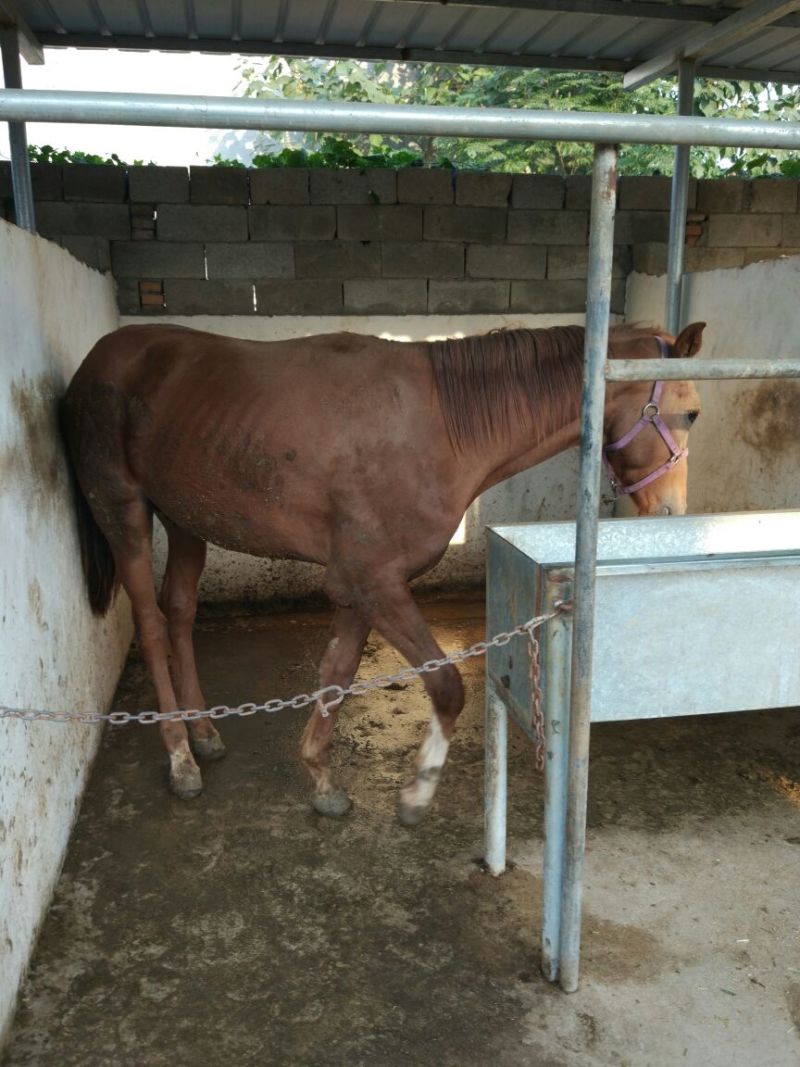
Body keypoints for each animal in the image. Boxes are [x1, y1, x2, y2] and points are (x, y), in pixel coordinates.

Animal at [60, 320, 704, 822]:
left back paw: (205, 732)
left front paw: (322, 781)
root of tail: (98, 359)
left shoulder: (358, 589)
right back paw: (180, 758)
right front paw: (417, 793)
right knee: (150, 624)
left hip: (186, 521)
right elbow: (445, 685)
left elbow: (337, 677)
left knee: (179, 613)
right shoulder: (371, 582)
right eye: (692, 412)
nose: (673, 513)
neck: (440, 426)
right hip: (124, 513)